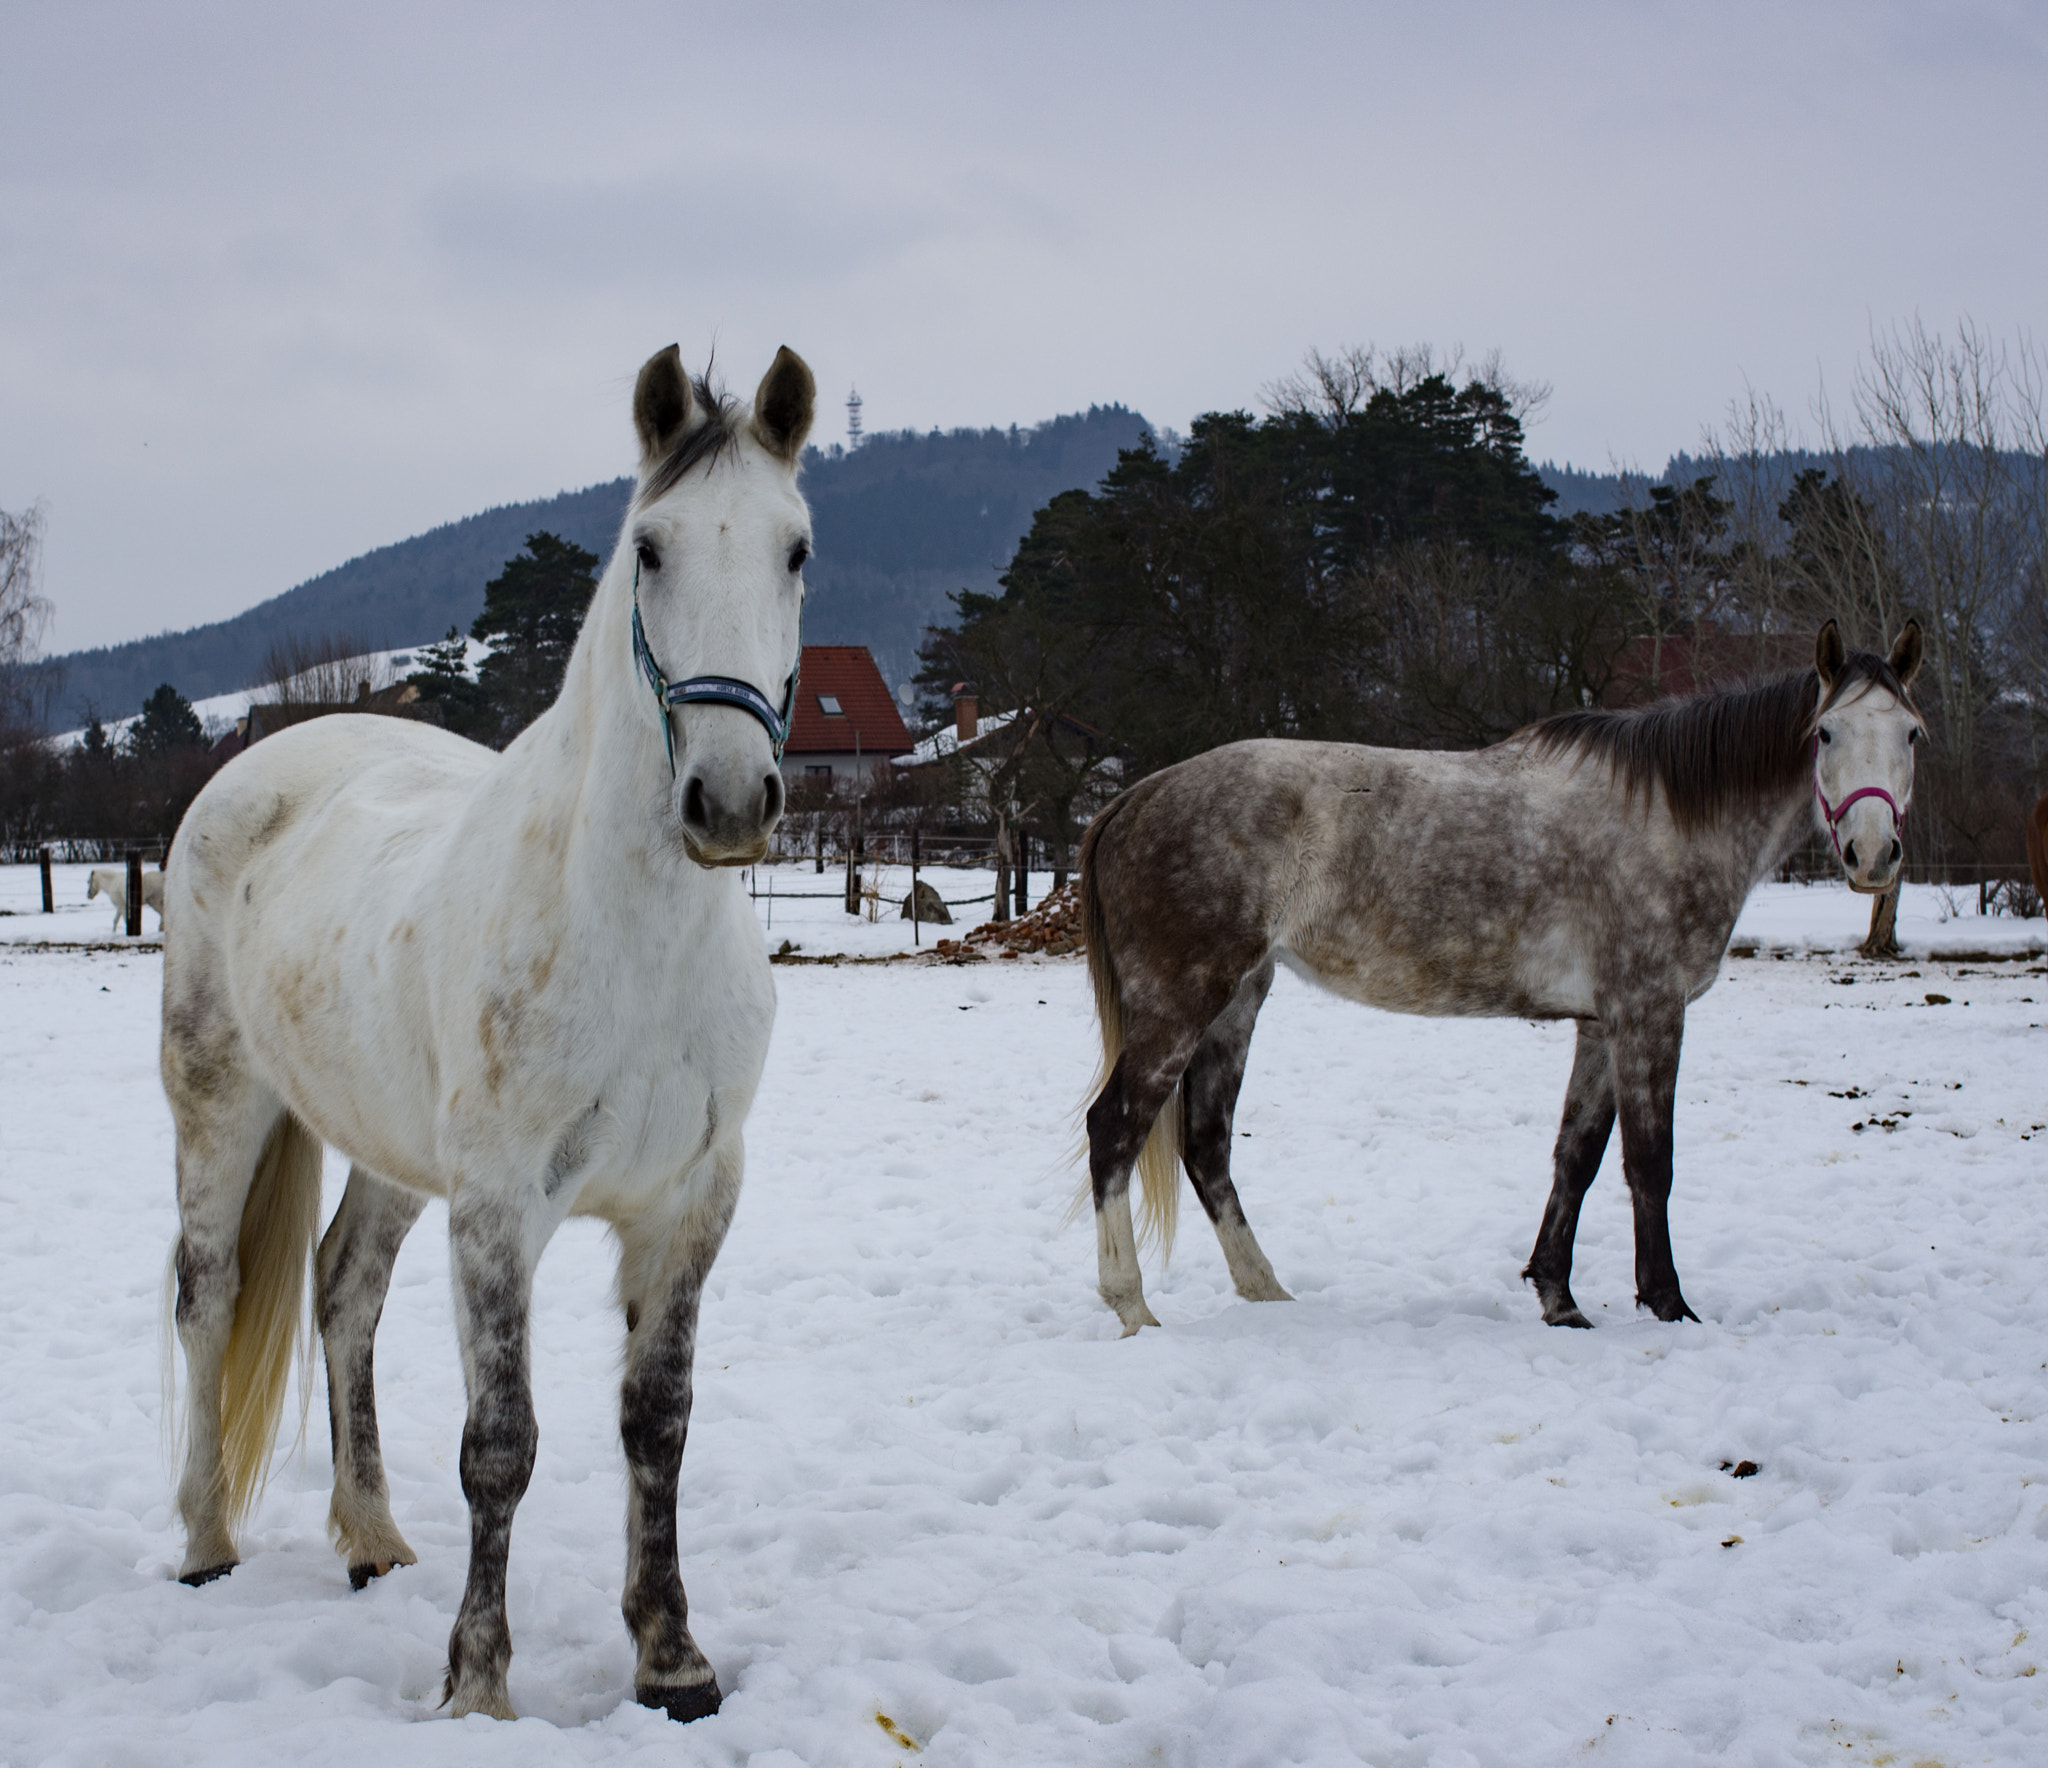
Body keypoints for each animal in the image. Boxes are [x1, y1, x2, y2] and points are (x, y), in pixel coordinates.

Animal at [163, 338, 815, 1720]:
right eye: (652, 549)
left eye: (794, 548)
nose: (731, 800)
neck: (630, 938)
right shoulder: (503, 1206)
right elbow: (501, 1444)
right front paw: (476, 1682)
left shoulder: (688, 1201)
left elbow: (657, 1422)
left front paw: (672, 1659)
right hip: (221, 1105)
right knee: (208, 1292)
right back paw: (201, 1542)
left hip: (395, 1153)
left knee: (342, 1290)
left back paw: (369, 1538)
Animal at [1081, 622, 1925, 1327]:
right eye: (1825, 731)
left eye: (1912, 733)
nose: (1873, 854)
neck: (1671, 816)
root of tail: (1137, 796)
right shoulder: (1649, 1014)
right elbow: (1650, 1163)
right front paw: (1667, 1303)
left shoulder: (1600, 1025)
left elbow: (1577, 1158)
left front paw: (1558, 1296)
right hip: (1180, 1003)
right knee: (1114, 1128)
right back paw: (1133, 1307)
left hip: (1237, 1002)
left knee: (1206, 1144)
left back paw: (1267, 1292)